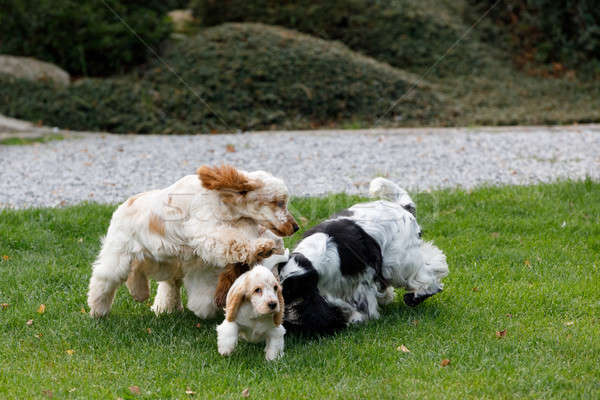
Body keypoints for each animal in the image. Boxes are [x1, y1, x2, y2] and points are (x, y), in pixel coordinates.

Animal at [86, 163, 298, 318]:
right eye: (279, 202)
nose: (295, 227)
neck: (223, 201)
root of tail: (121, 207)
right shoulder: (207, 233)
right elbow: (234, 242)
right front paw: (262, 247)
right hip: (119, 256)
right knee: (103, 279)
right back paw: (98, 310)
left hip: (164, 261)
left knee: (156, 279)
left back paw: (148, 298)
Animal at [276, 177, 446, 336]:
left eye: (289, 291)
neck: (313, 259)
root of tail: (404, 209)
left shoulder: (359, 282)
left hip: (399, 262)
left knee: (431, 269)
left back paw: (417, 295)